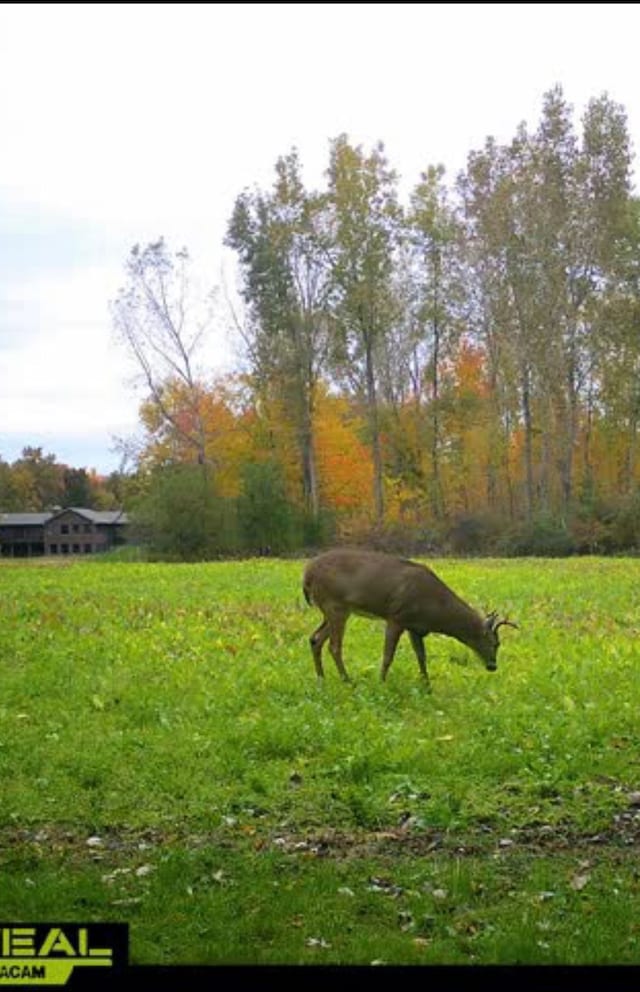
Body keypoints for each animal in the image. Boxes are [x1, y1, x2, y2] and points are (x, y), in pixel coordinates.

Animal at [302, 548, 516, 684]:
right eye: (495, 643)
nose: (492, 666)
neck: (435, 609)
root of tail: (307, 574)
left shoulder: (416, 627)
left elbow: (421, 656)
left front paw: (426, 685)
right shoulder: (396, 616)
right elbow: (388, 655)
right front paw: (382, 682)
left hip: (335, 609)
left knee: (315, 638)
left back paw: (321, 678)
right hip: (335, 604)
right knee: (334, 646)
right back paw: (347, 680)